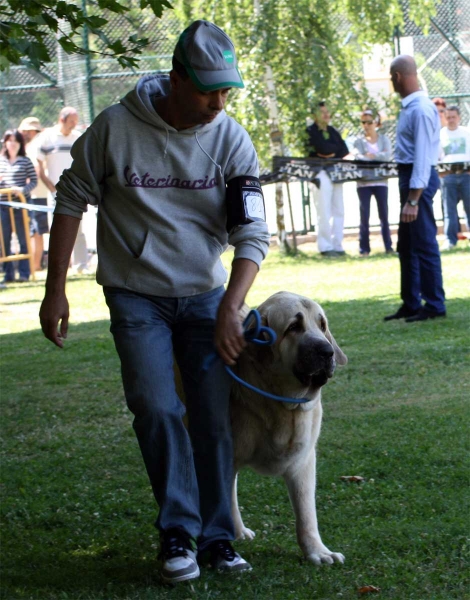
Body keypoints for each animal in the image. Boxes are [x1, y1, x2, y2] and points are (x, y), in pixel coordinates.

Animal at [229, 292, 346, 564]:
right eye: (293, 327)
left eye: (322, 325)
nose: (327, 352)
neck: (283, 404)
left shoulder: (303, 462)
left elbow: (306, 513)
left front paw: (317, 552)